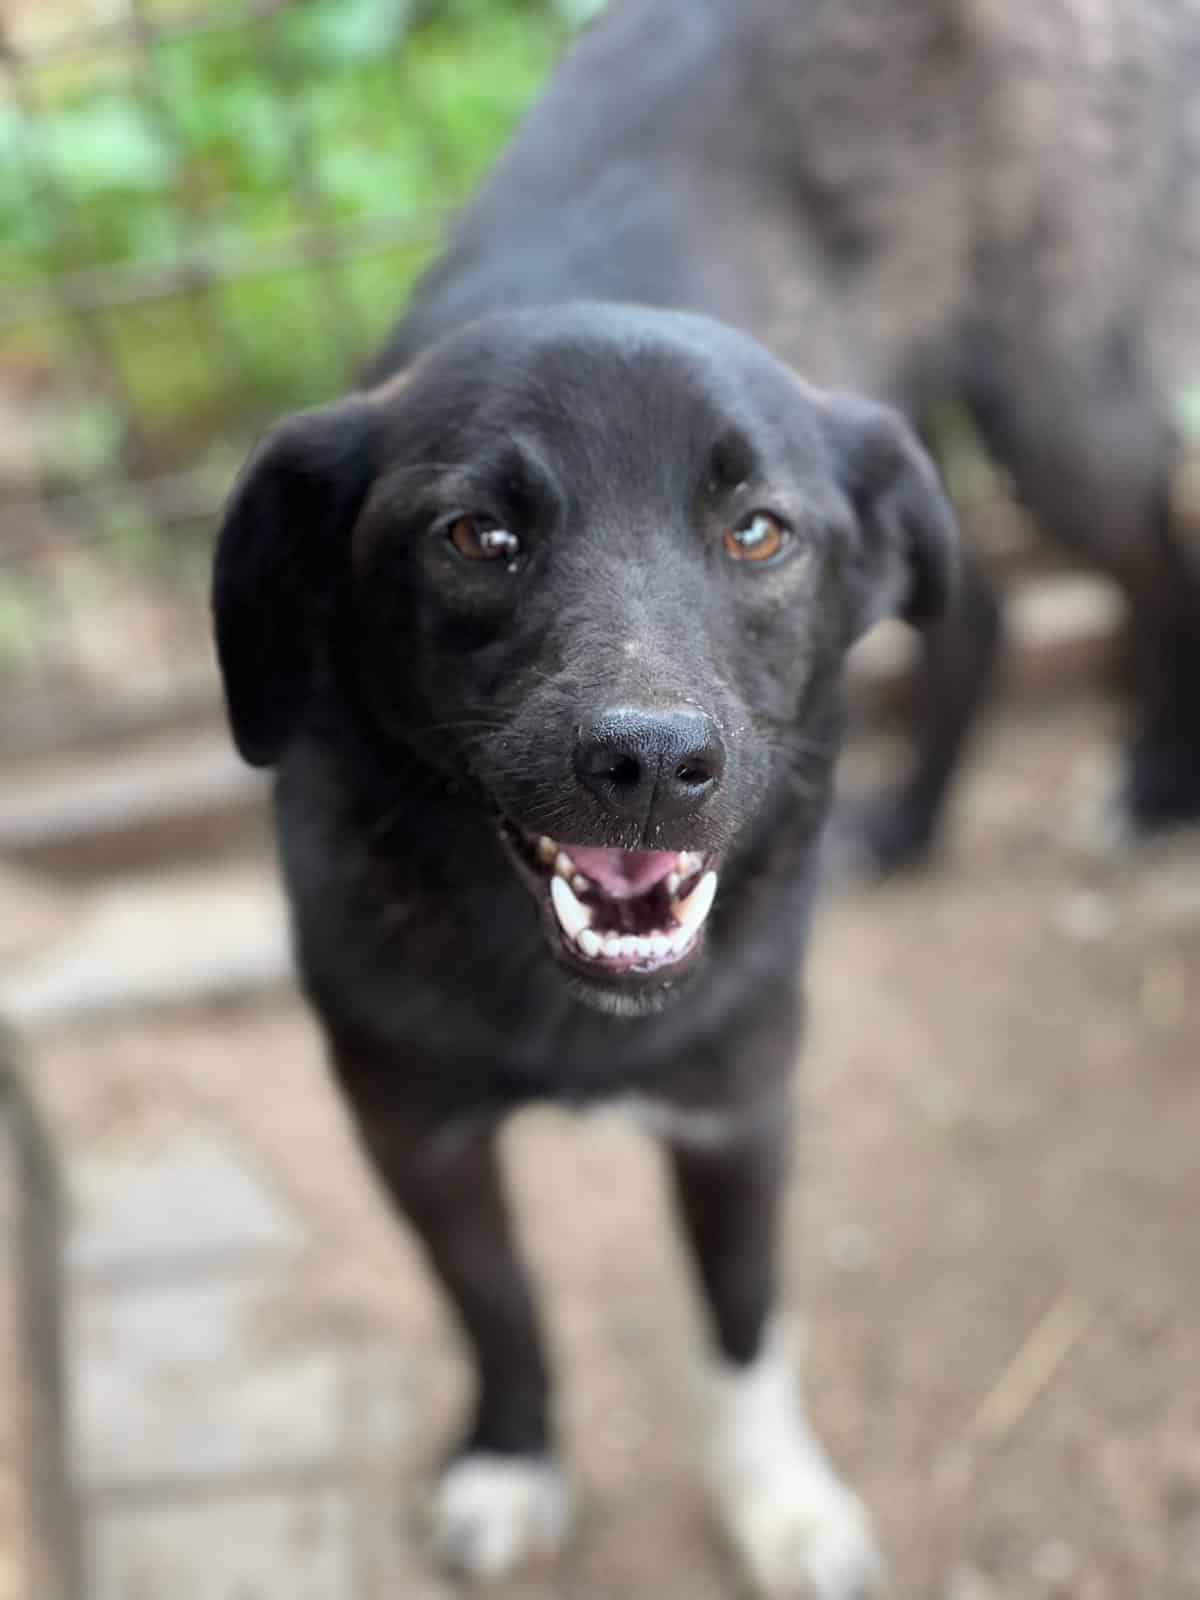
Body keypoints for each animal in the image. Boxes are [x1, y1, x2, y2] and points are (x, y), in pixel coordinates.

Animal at [213, 0, 1199, 1590]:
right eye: (475, 535)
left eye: (756, 531)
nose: (653, 766)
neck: (550, 995)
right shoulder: (408, 1131)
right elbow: (498, 1309)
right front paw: (512, 1458)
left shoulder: (743, 1114)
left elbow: (740, 1328)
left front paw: (778, 1504)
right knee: (981, 614)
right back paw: (910, 828)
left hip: (1062, 400)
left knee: (1158, 563)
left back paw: (1155, 787)